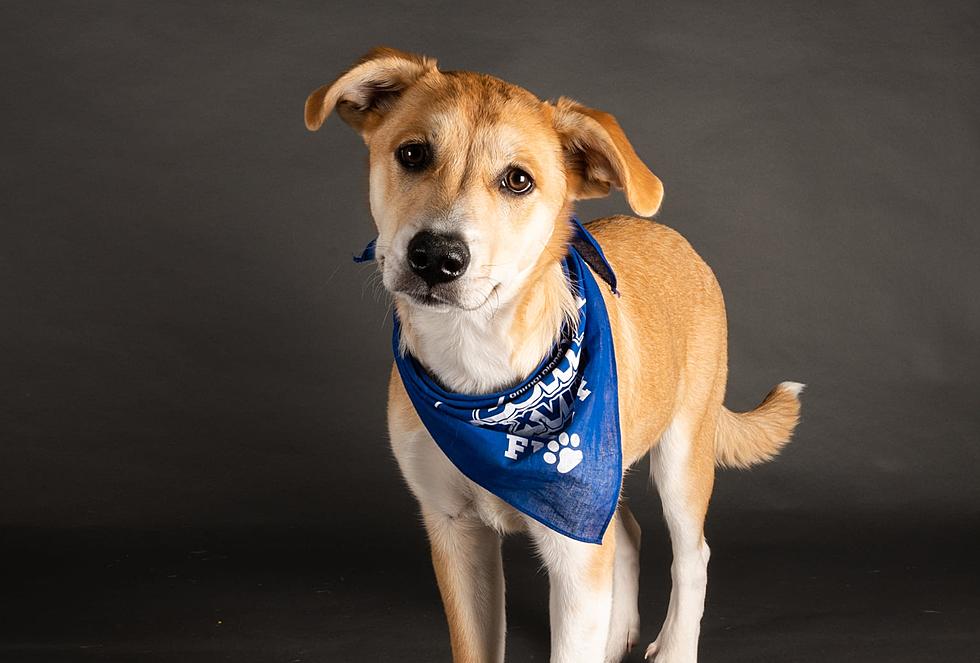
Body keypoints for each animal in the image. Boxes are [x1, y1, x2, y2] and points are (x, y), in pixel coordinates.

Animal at [306, 46, 804, 663]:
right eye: (413, 153)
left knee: (693, 555)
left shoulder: (573, 550)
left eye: (518, 180)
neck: (481, 364)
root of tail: (674, 238)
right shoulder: (455, 533)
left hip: (681, 454)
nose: (436, 256)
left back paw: (674, 646)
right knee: (626, 532)